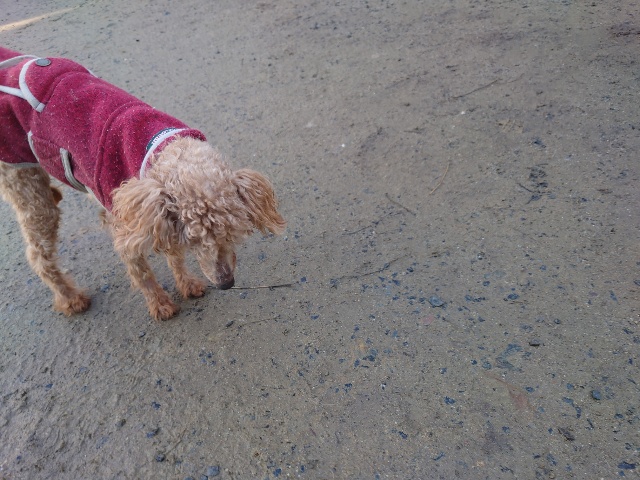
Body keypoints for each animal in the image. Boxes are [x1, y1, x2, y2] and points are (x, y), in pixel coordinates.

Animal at [0, 47, 285, 320]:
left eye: (231, 232)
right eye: (195, 239)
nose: (226, 283)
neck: (161, 147)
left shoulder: (160, 215)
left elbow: (173, 254)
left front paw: (187, 283)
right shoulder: (128, 223)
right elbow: (141, 272)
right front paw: (160, 305)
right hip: (24, 182)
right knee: (38, 254)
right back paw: (70, 298)